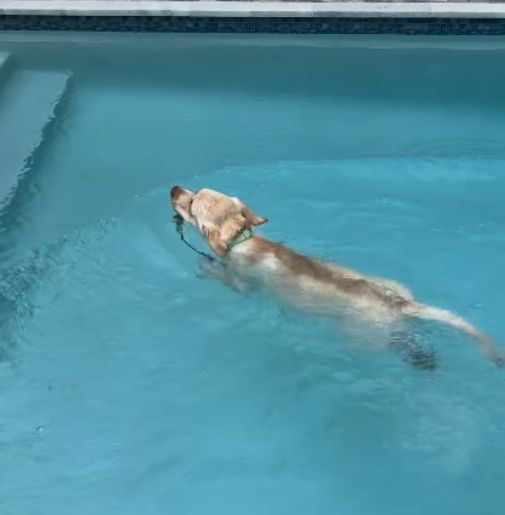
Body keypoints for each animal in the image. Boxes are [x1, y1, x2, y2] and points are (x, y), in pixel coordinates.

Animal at [171, 187, 502, 368]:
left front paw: (207, 266)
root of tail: (399, 304)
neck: (244, 239)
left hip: (366, 336)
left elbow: (225, 275)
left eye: (192, 202)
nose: (174, 188)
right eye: (192, 193)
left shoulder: (242, 284)